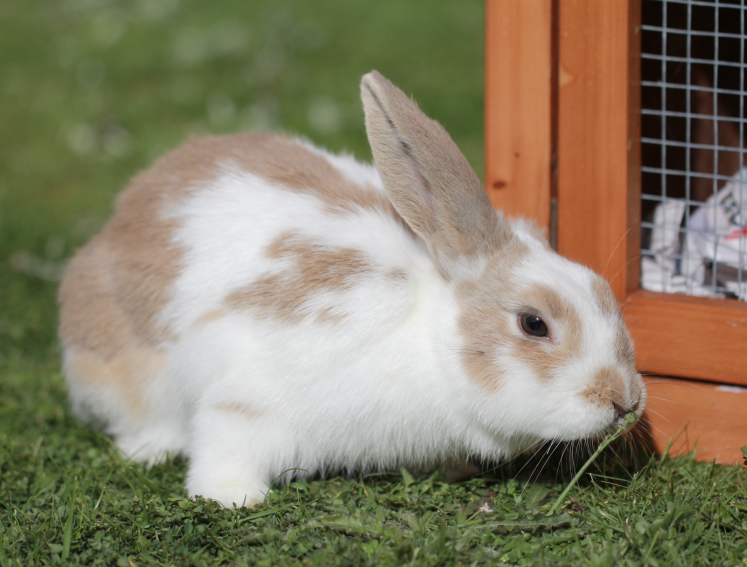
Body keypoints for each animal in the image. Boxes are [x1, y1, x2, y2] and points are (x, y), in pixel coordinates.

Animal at [58, 70, 646, 508]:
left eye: (603, 291)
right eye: (533, 324)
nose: (625, 400)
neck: (431, 342)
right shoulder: (249, 396)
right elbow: (225, 442)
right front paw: (232, 496)